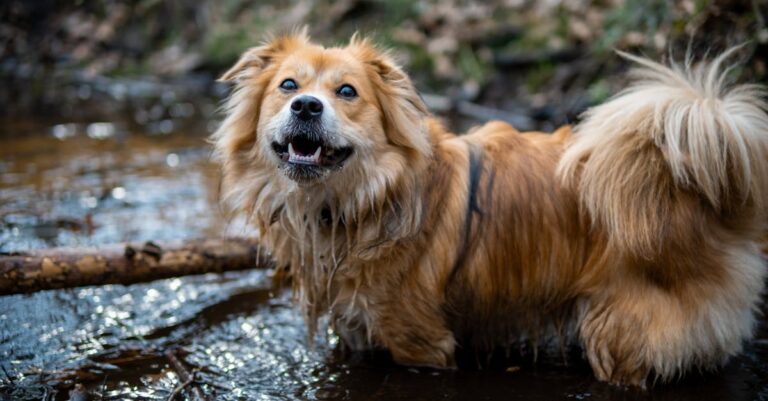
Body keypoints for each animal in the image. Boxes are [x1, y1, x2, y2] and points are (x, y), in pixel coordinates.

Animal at [212, 31, 768, 388]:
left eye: (347, 91)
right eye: (288, 85)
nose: (307, 105)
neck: (357, 202)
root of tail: (709, 193)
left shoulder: (419, 340)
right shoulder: (357, 329)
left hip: (624, 330)